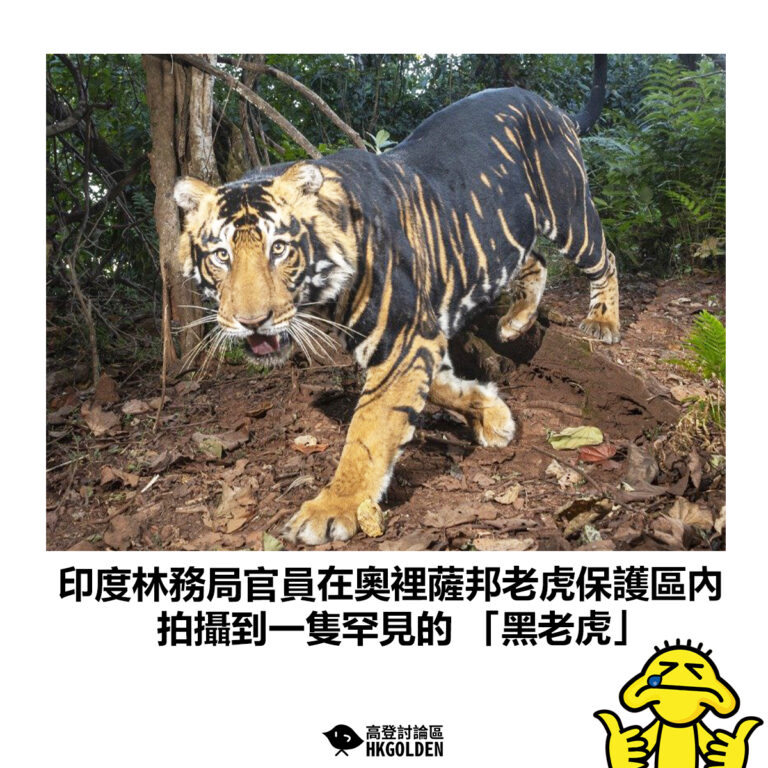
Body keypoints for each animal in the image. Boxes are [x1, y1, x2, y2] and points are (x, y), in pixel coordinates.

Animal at [173, 79, 620, 546]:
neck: (324, 296)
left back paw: (603, 321)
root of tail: (548, 104)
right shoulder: (412, 339)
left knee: (605, 258)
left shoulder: (405, 337)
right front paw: (492, 414)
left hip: (569, 211)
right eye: (221, 255)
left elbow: (369, 429)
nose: (251, 321)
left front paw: (333, 507)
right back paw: (516, 321)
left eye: (278, 249)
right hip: (509, 229)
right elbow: (438, 387)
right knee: (536, 260)